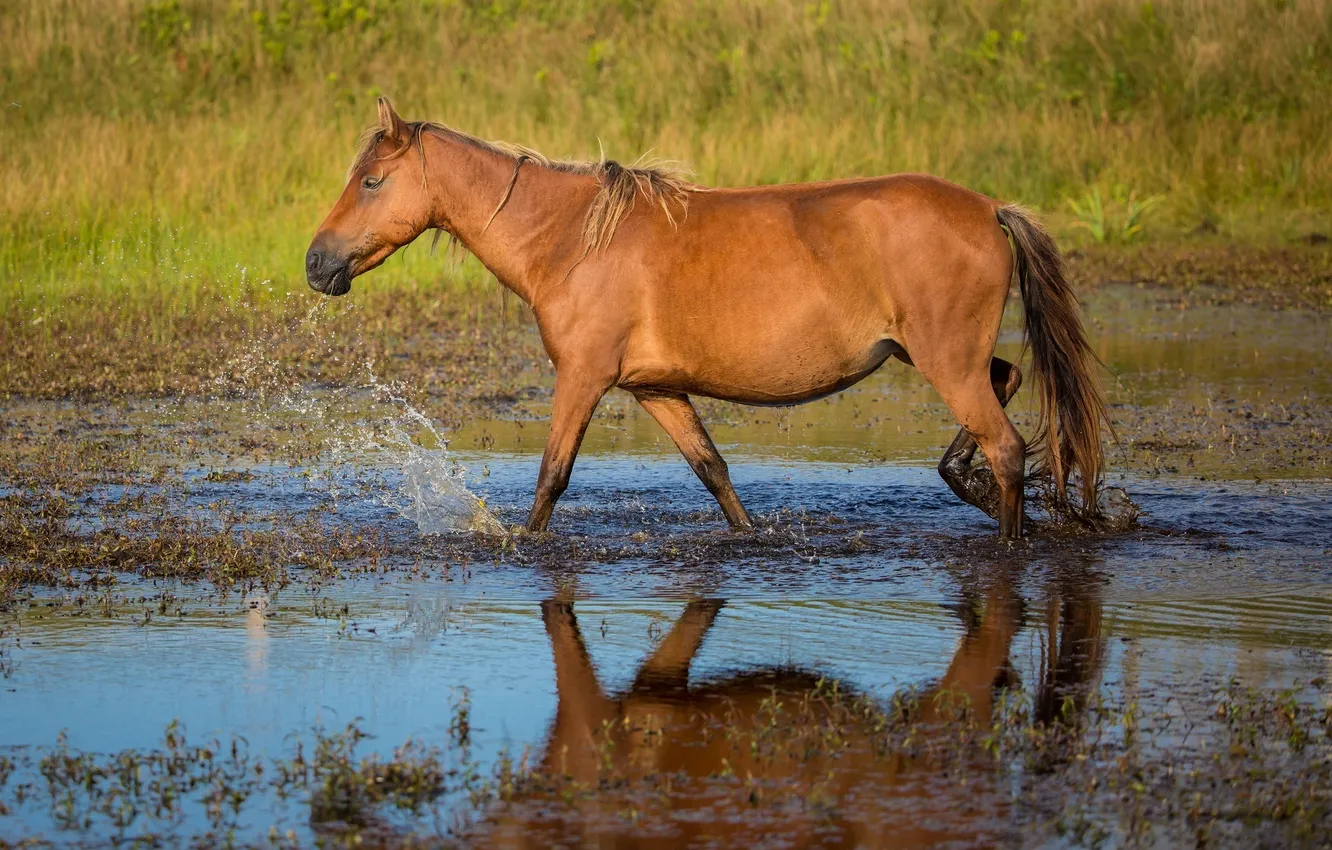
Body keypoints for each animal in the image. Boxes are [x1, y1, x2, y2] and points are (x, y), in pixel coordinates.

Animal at [306, 99, 1108, 538]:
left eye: (371, 181)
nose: (316, 264)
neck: (570, 240)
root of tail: (989, 209)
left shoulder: (582, 378)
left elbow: (551, 480)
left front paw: (519, 546)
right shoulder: (656, 389)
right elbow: (714, 473)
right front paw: (753, 539)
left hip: (944, 361)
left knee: (1007, 447)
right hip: (937, 356)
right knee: (1006, 387)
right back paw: (971, 485)